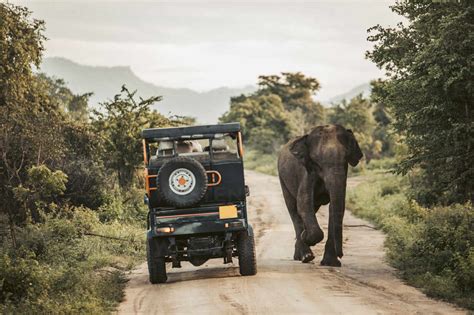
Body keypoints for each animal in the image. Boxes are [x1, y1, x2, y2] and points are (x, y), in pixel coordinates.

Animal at [278, 124, 362, 268]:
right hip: (282, 179)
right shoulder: (306, 172)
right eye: (317, 162)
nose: (341, 255)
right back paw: (306, 255)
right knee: (293, 209)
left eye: (345, 159)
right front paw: (305, 235)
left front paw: (331, 264)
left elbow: (336, 206)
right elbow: (303, 203)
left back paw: (300, 253)